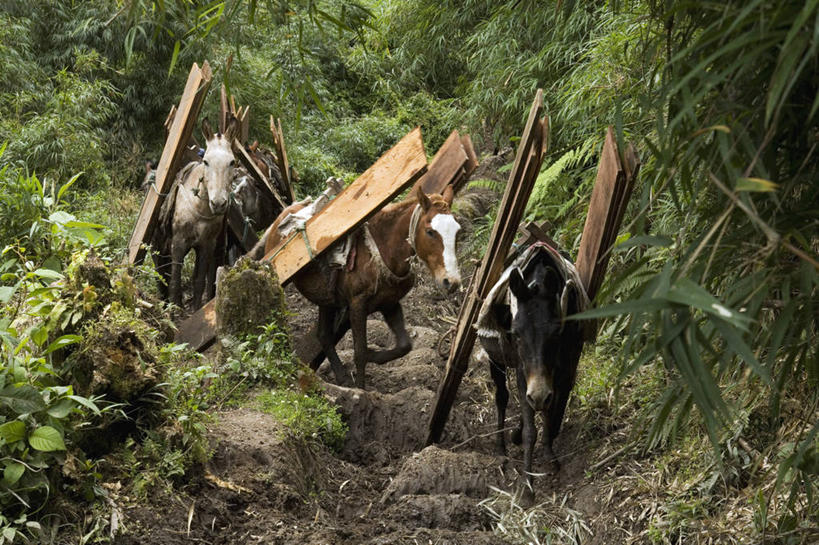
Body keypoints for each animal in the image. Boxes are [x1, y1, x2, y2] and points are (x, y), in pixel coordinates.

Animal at [260, 185, 462, 388]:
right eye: (430, 231)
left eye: (457, 232)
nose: (451, 281)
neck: (383, 250)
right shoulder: (358, 304)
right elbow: (360, 352)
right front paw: (361, 388)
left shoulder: (389, 303)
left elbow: (404, 346)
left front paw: (374, 356)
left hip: (326, 299)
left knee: (324, 335)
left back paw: (341, 376)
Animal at [474, 244, 588, 500]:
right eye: (516, 333)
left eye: (556, 333)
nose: (538, 394)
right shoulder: (523, 372)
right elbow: (530, 431)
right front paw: (527, 485)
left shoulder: (562, 369)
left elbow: (551, 412)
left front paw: (549, 454)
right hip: (497, 362)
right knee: (502, 397)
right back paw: (501, 448)